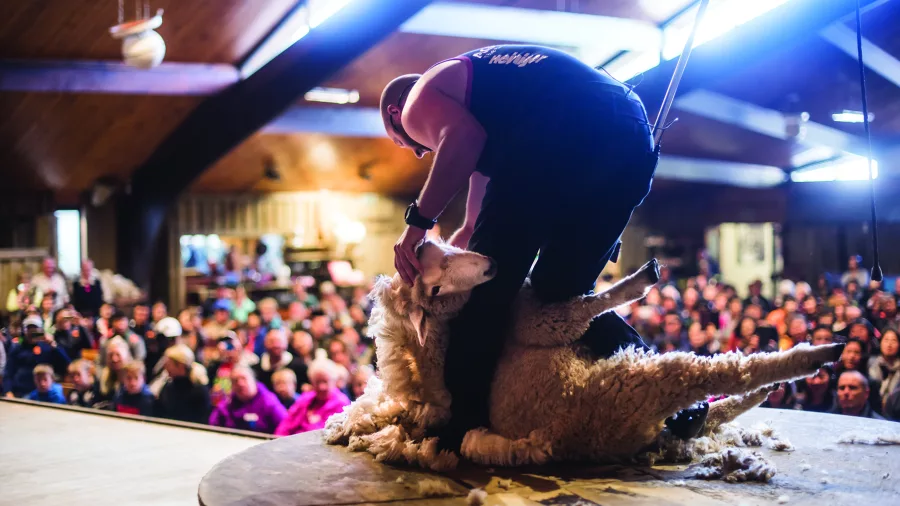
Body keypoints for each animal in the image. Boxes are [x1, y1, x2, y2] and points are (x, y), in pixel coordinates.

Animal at [324, 240, 843, 471]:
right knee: (725, 373)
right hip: (642, 378)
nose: (492, 264)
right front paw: (637, 281)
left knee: (716, 404)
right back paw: (812, 356)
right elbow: (587, 307)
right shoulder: (540, 319)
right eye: (431, 288)